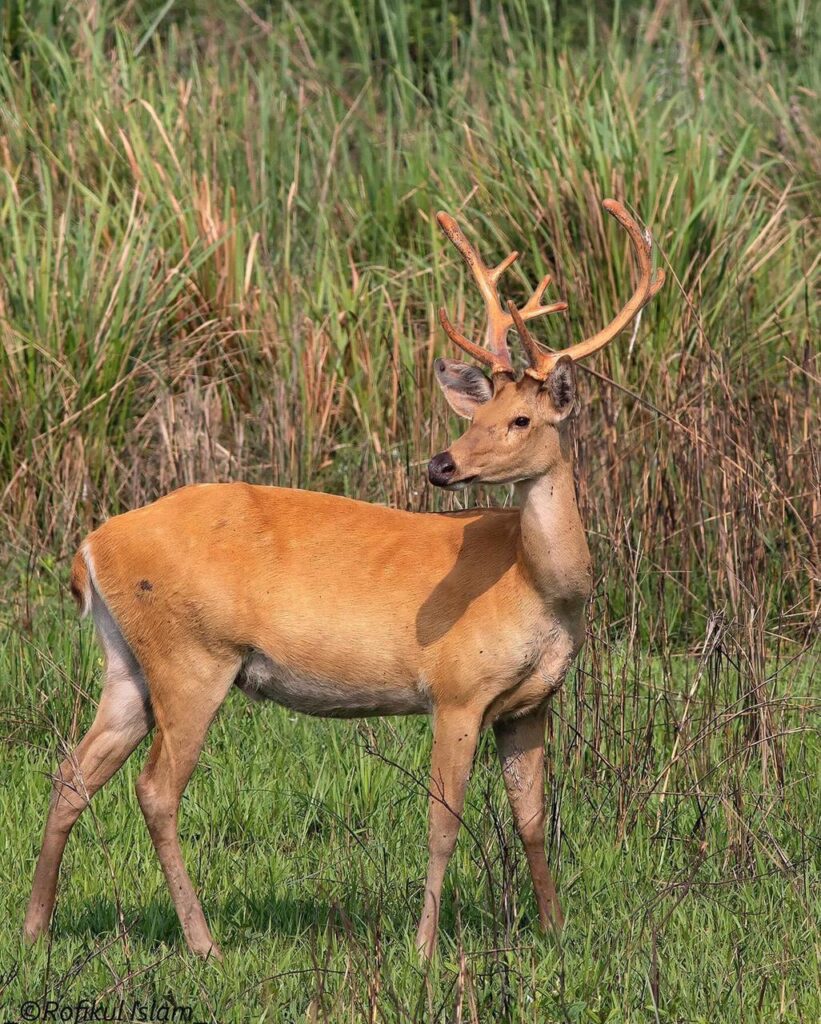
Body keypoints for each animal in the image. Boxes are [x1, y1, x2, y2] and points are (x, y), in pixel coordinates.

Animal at [24, 197, 663, 958]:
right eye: (474, 414)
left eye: (519, 418)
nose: (441, 465)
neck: (541, 588)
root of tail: (89, 548)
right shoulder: (456, 688)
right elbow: (443, 821)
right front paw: (423, 949)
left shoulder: (530, 702)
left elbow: (532, 817)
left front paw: (554, 931)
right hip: (192, 654)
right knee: (155, 789)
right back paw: (204, 943)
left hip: (127, 661)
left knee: (71, 774)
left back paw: (35, 929)